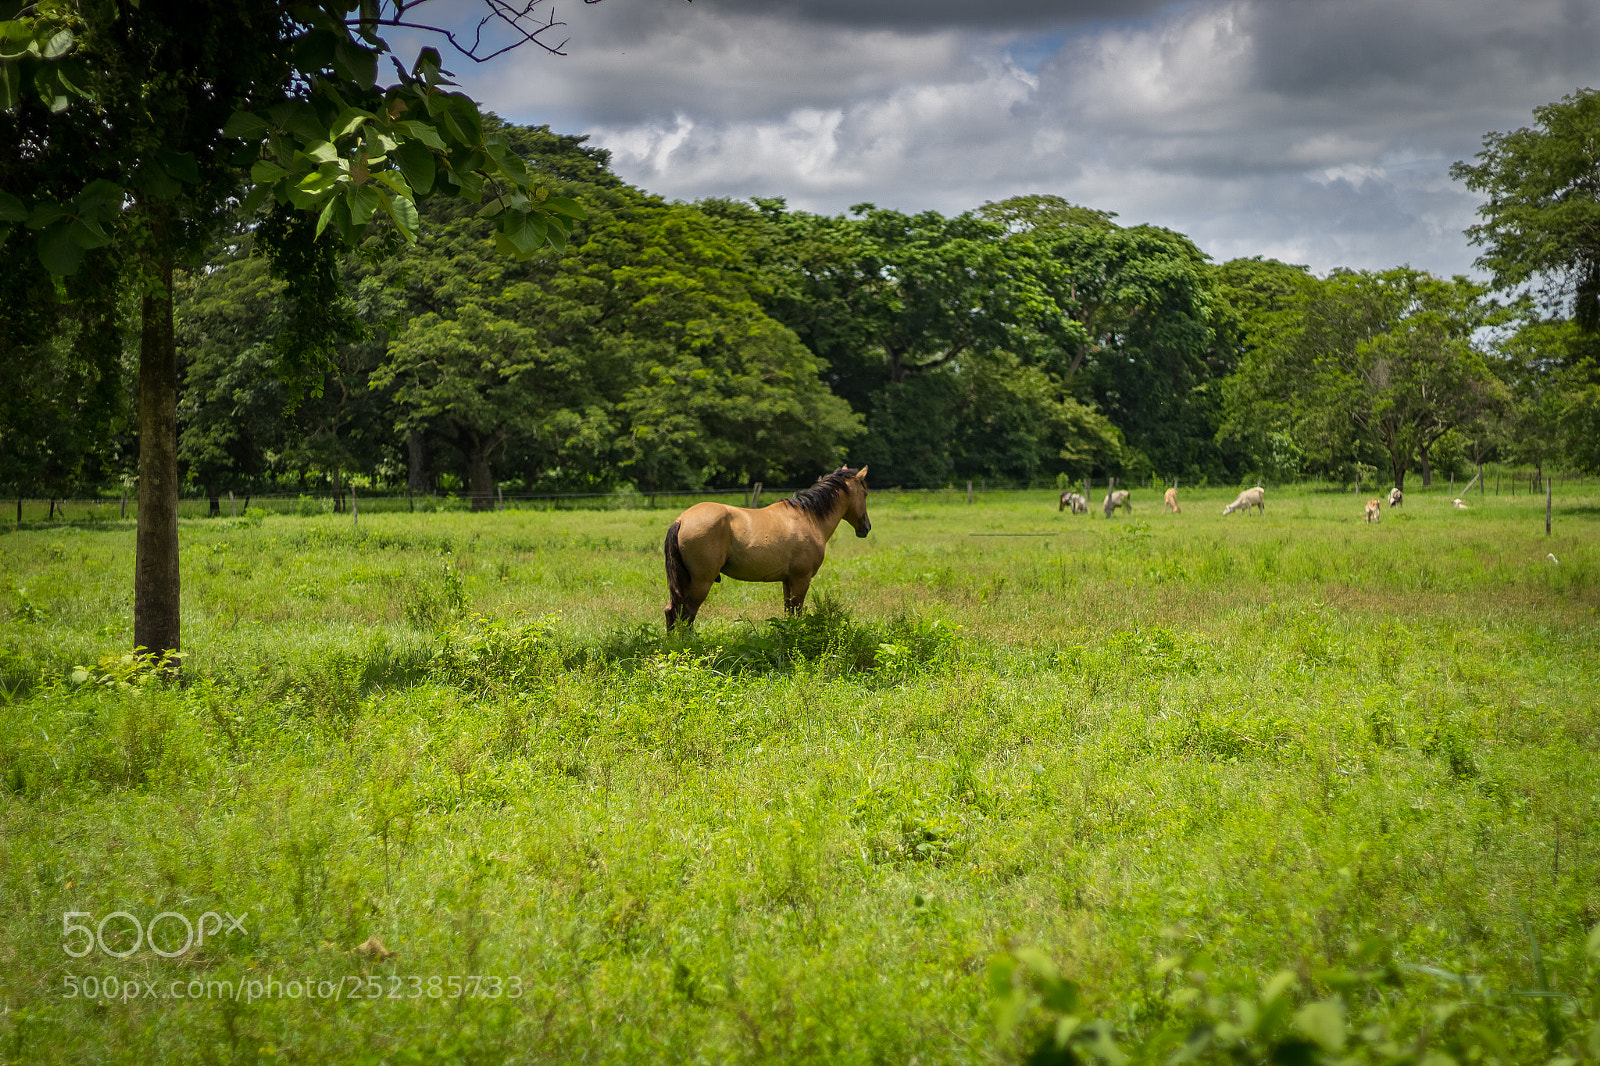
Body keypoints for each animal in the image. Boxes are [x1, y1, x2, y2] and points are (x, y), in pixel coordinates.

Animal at [663, 466, 871, 631]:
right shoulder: (801, 579)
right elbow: (797, 612)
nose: (867, 527)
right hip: (701, 582)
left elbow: (789, 614)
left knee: (672, 611)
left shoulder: (788, 580)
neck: (808, 518)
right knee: (687, 614)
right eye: (865, 494)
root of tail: (681, 520)